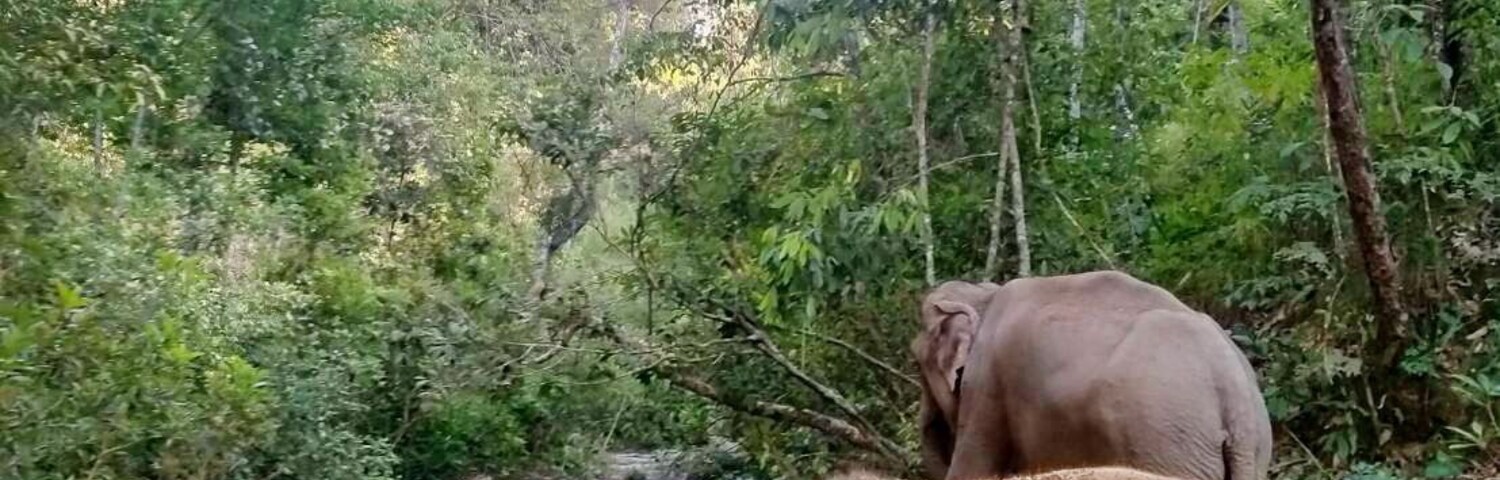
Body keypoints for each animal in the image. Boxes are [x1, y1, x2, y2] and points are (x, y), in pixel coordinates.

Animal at [912, 271, 1272, 480]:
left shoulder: (988, 383)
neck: (984, 296)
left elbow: (973, 467)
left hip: (1167, 439)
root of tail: (1236, 400)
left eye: (915, 359)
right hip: (1248, 453)